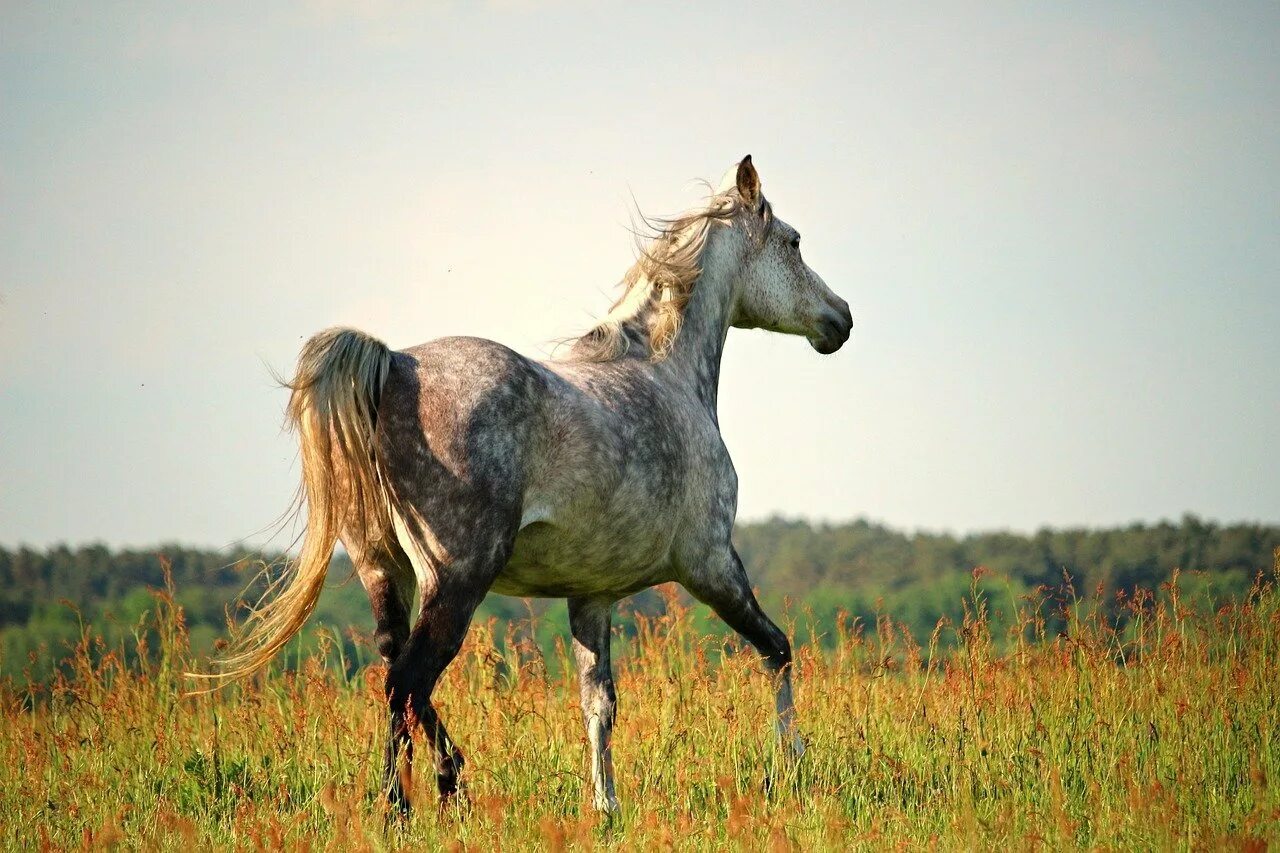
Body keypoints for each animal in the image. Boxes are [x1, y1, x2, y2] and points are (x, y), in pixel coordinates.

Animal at [212, 156, 849, 814]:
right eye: (793, 242)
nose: (841, 319)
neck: (667, 377)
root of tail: (395, 365)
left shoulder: (592, 595)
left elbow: (599, 704)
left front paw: (605, 806)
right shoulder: (713, 564)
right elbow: (777, 650)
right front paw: (792, 762)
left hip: (382, 568)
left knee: (395, 674)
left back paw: (432, 790)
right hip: (458, 576)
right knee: (408, 681)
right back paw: (415, 801)